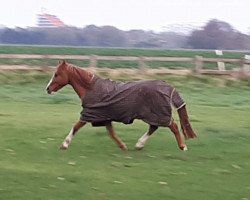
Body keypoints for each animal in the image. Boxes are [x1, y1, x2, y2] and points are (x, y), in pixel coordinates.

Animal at [46, 61, 196, 152]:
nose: (47, 89)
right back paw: (139, 145)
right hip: (154, 115)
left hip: (159, 114)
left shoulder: (89, 114)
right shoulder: (104, 117)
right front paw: (123, 146)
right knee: (154, 127)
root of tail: (168, 86)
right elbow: (111, 133)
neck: (91, 88)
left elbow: (76, 127)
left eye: (57, 74)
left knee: (173, 126)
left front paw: (64, 144)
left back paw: (183, 147)